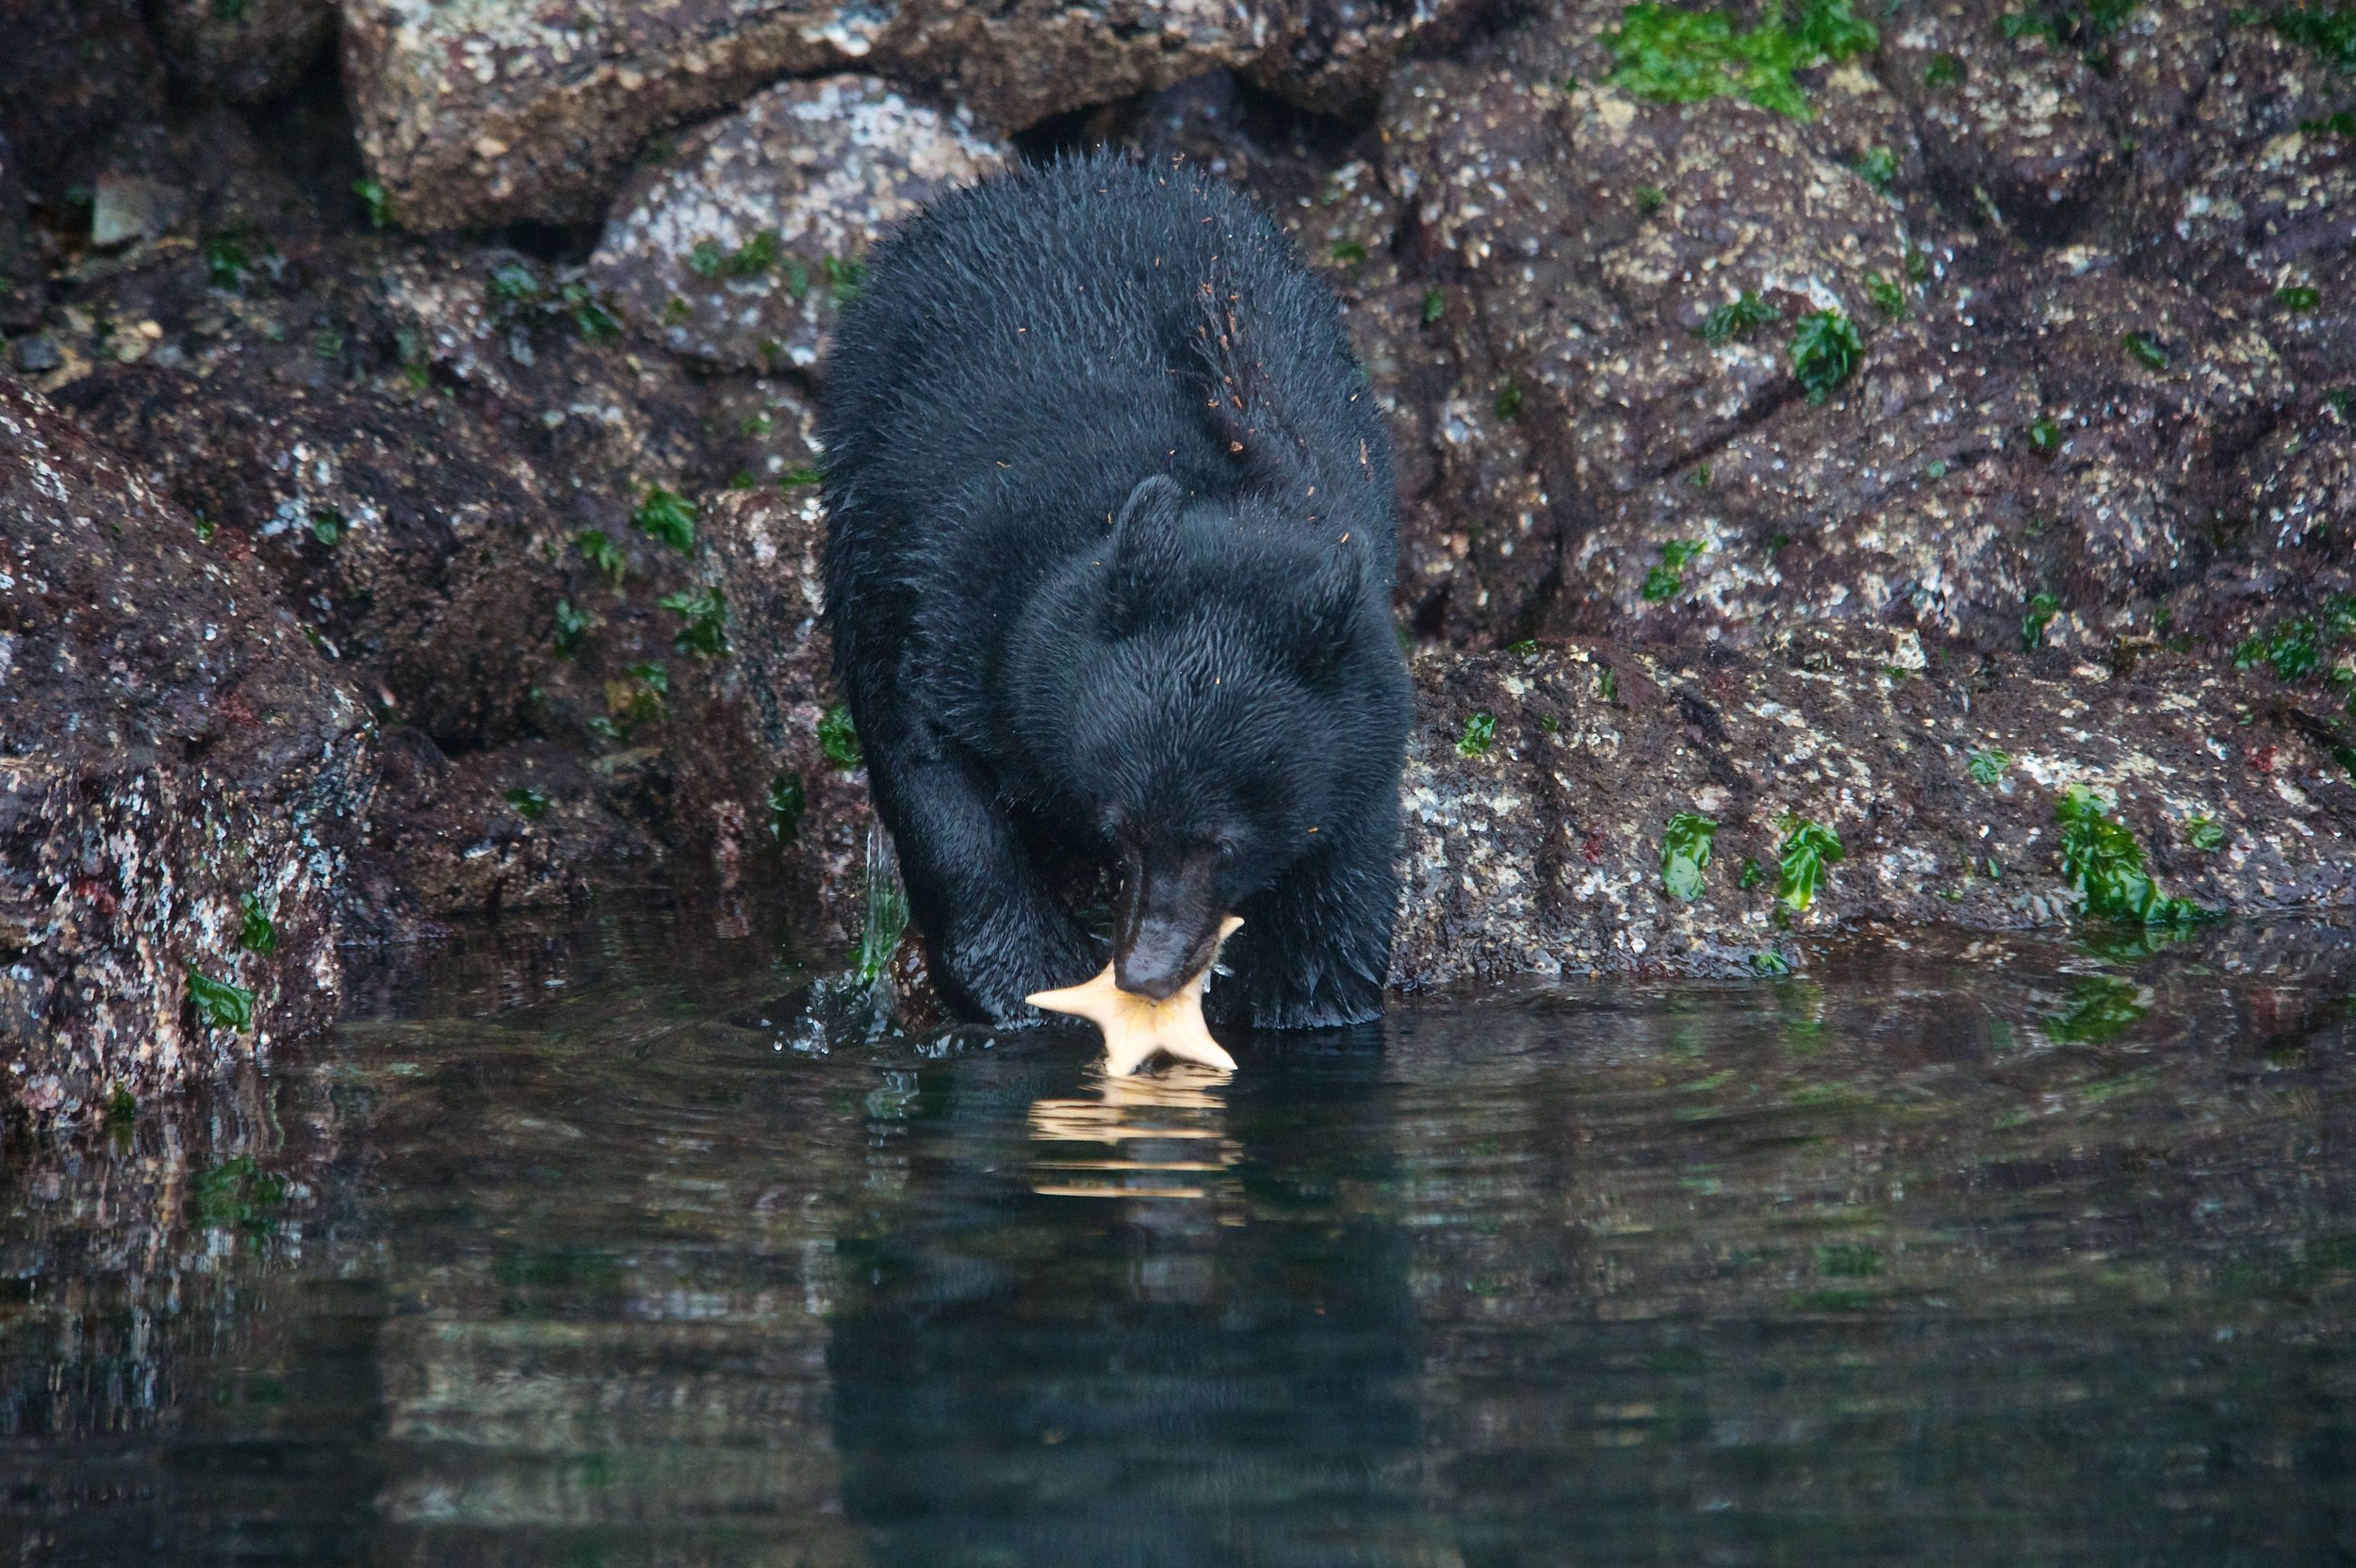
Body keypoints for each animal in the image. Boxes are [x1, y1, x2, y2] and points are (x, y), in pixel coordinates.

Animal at [820, 149, 1404, 1026]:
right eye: (1120, 827)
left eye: (1224, 843)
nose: (1147, 972)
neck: (1229, 502)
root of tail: (1054, 172)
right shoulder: (955, 580)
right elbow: (921, 750)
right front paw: (1025, 977)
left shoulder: (1363, 694)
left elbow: (1341, 880)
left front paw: (1307, 994)